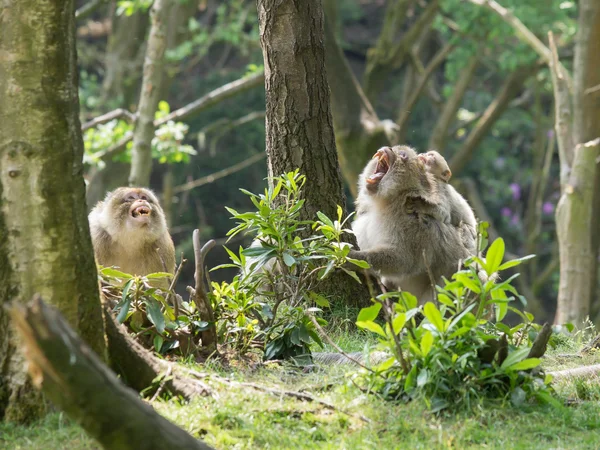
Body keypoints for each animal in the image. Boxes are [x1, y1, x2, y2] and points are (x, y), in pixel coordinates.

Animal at [350, 147, 476, 302]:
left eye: (402, 155)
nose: (386, 149)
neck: (386, 200)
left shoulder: (410, 221)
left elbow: (403, 259)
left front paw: (353, 258)